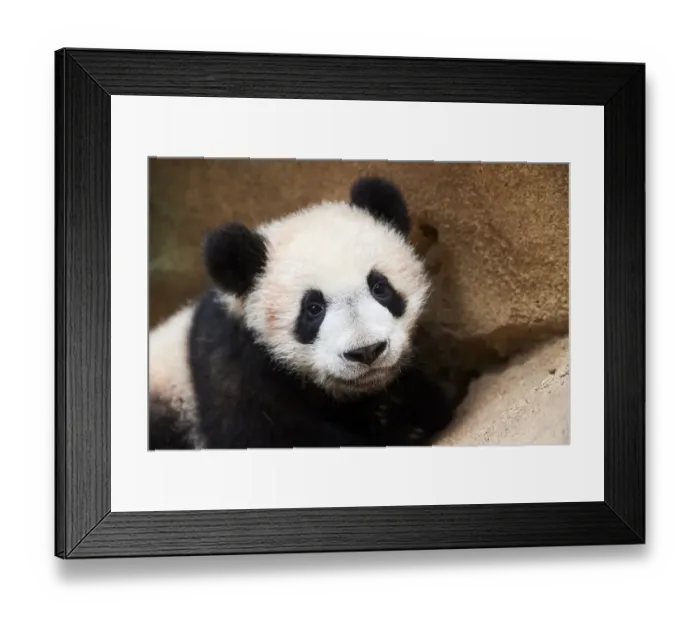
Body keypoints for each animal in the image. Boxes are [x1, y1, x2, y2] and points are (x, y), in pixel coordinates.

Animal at [148, 176, 457, 450]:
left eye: (380, 287)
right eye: (313, 309)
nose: (366, 351)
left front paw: (398, 412)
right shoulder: (230, 366)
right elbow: (264, 435)